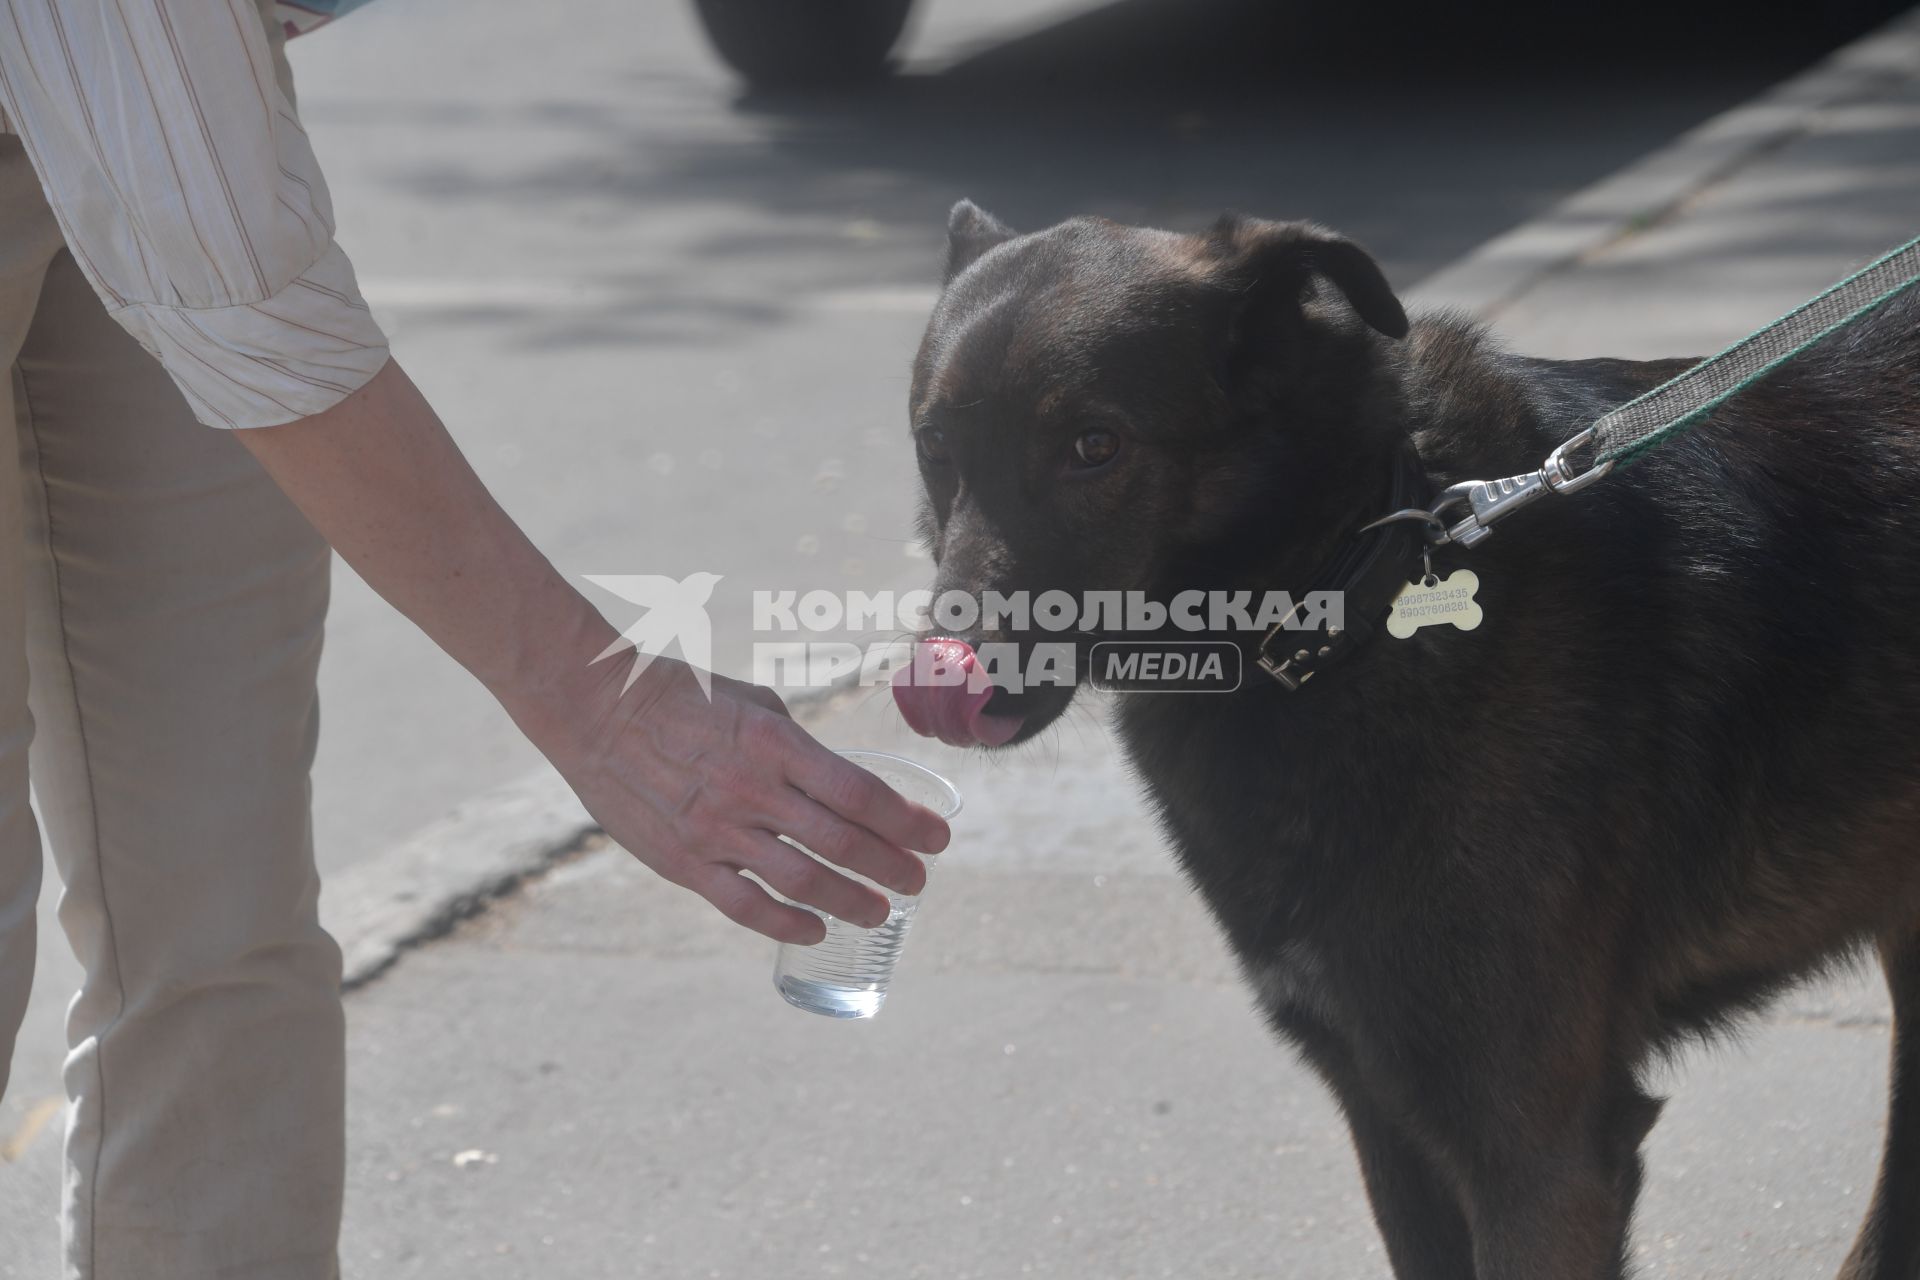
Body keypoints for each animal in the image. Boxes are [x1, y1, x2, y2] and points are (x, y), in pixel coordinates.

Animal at [890, 195, 1920, 1274]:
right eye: (935, 446)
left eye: (1095, 445)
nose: (938, 679)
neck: (1345, 591)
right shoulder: (1386, 1117)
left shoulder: (1540, 1162)